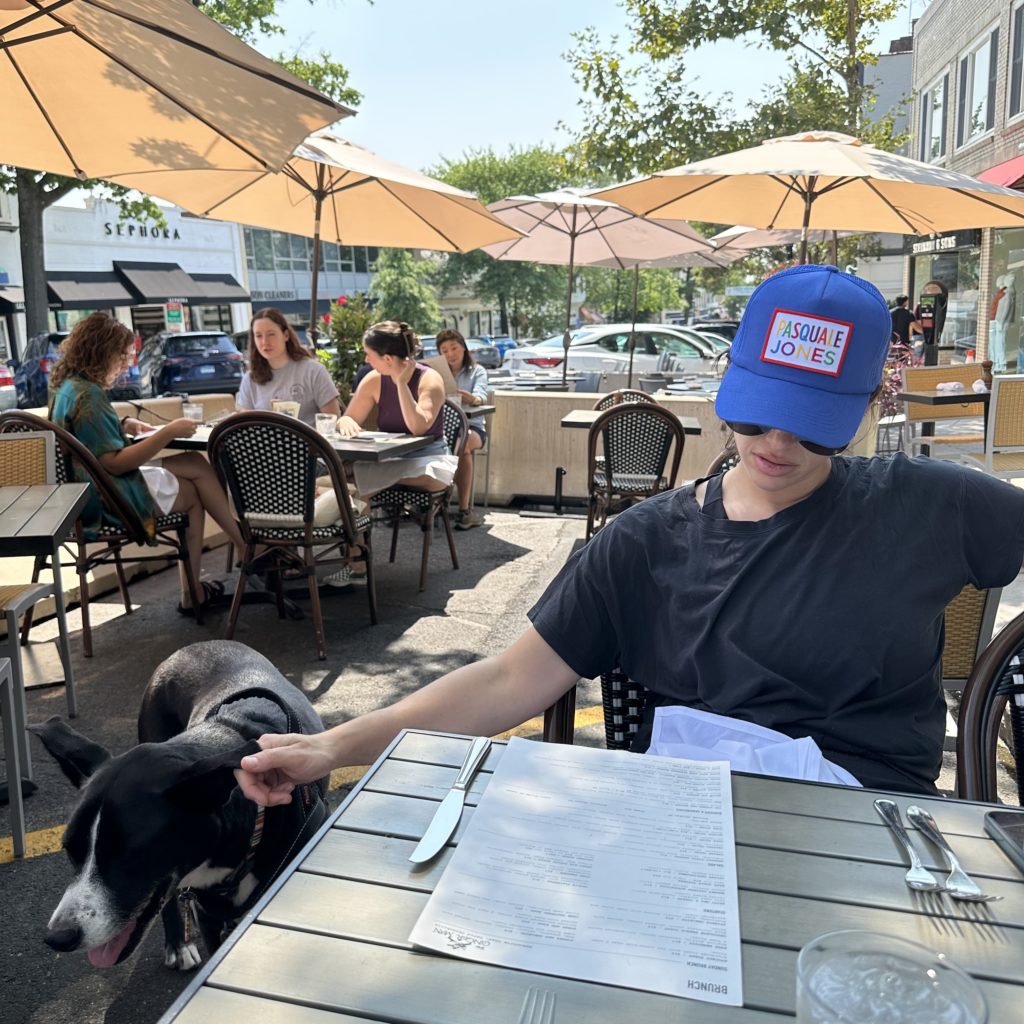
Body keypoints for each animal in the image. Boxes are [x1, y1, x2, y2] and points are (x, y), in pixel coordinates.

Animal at [32, 640, 328, 970]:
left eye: (130, 855)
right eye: (70, 850)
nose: (59, 937)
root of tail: (194, 646)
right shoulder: (209, 917)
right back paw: (178, 944)